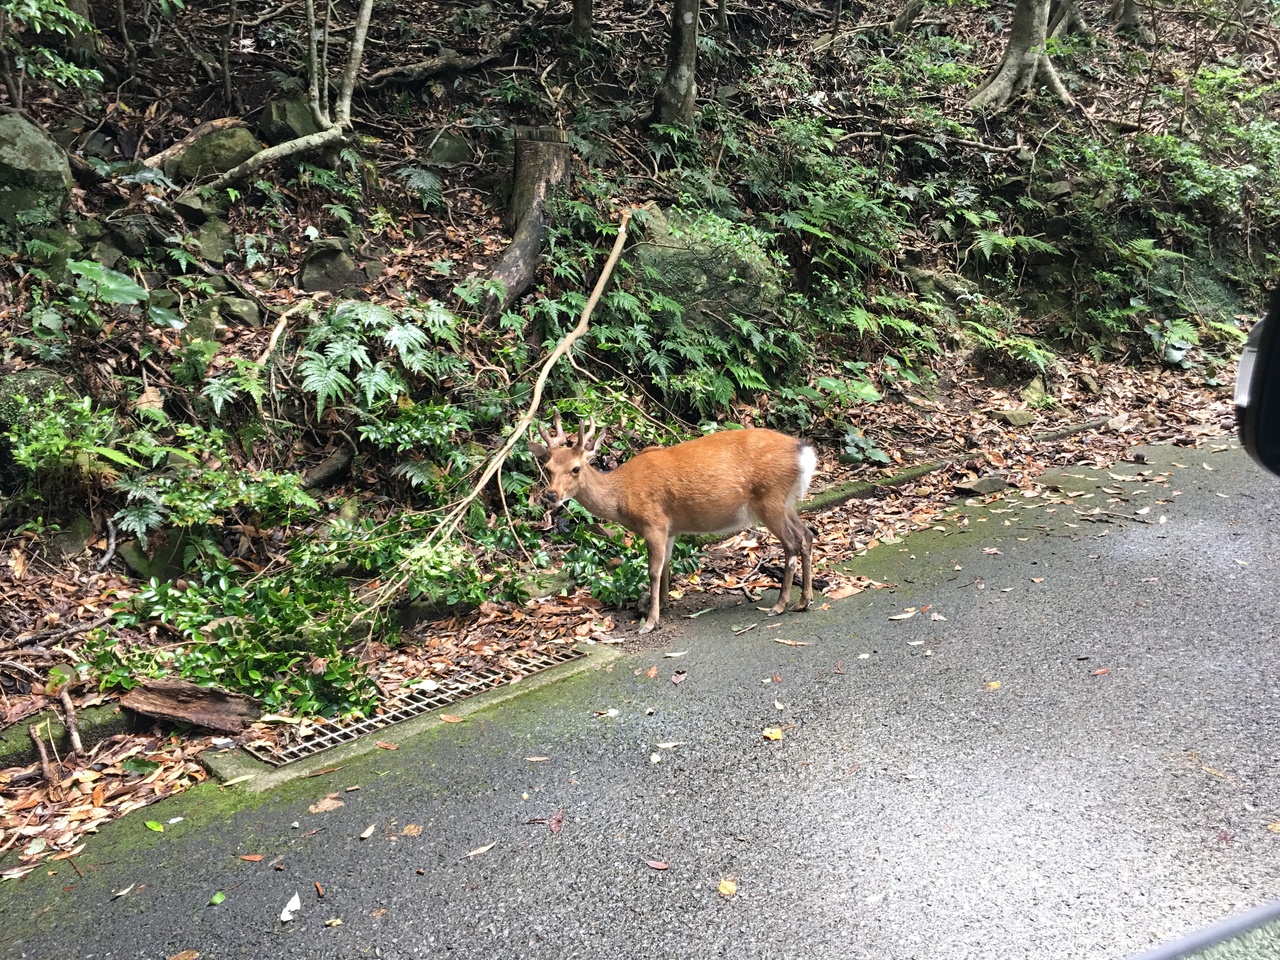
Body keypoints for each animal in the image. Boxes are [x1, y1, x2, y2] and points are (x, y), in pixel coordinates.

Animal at [529, 414, 816, 633]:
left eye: (576, 468)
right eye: (548, 467)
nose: (550, 495)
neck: (621, 496)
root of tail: (806, 453)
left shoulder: (653, 522)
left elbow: (653, 570)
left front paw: (650, 621)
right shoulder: (669, 529)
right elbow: (667, 564)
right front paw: (665, 604)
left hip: (770, 500)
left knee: (792, 543)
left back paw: (779, 605)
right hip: (786, 502)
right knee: (807, 535)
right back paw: (804, 600)